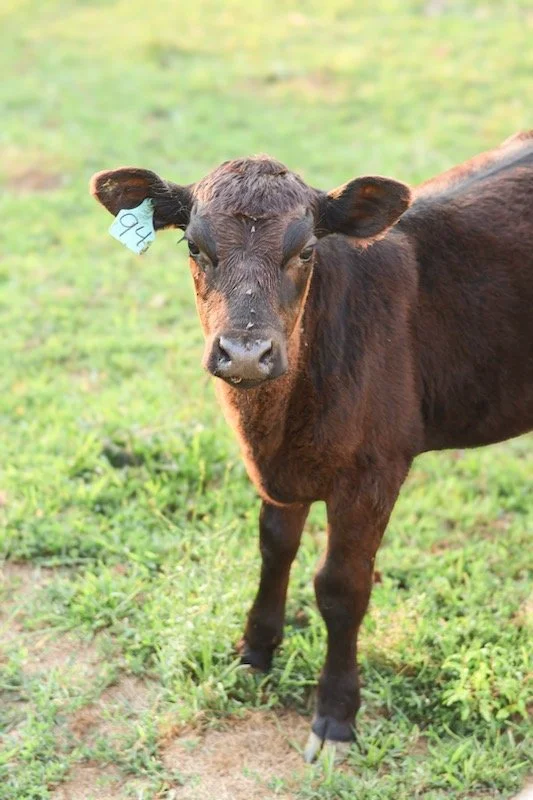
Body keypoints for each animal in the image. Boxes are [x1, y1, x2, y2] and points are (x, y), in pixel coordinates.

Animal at [90, 131, 533, 762]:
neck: (276, 430)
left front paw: (337, 715)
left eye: (304, 252)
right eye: (194, 247)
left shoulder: (375, 471)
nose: (246, 353)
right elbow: (275, 546)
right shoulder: (280, 474)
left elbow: (341, 588)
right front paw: (255, 654)